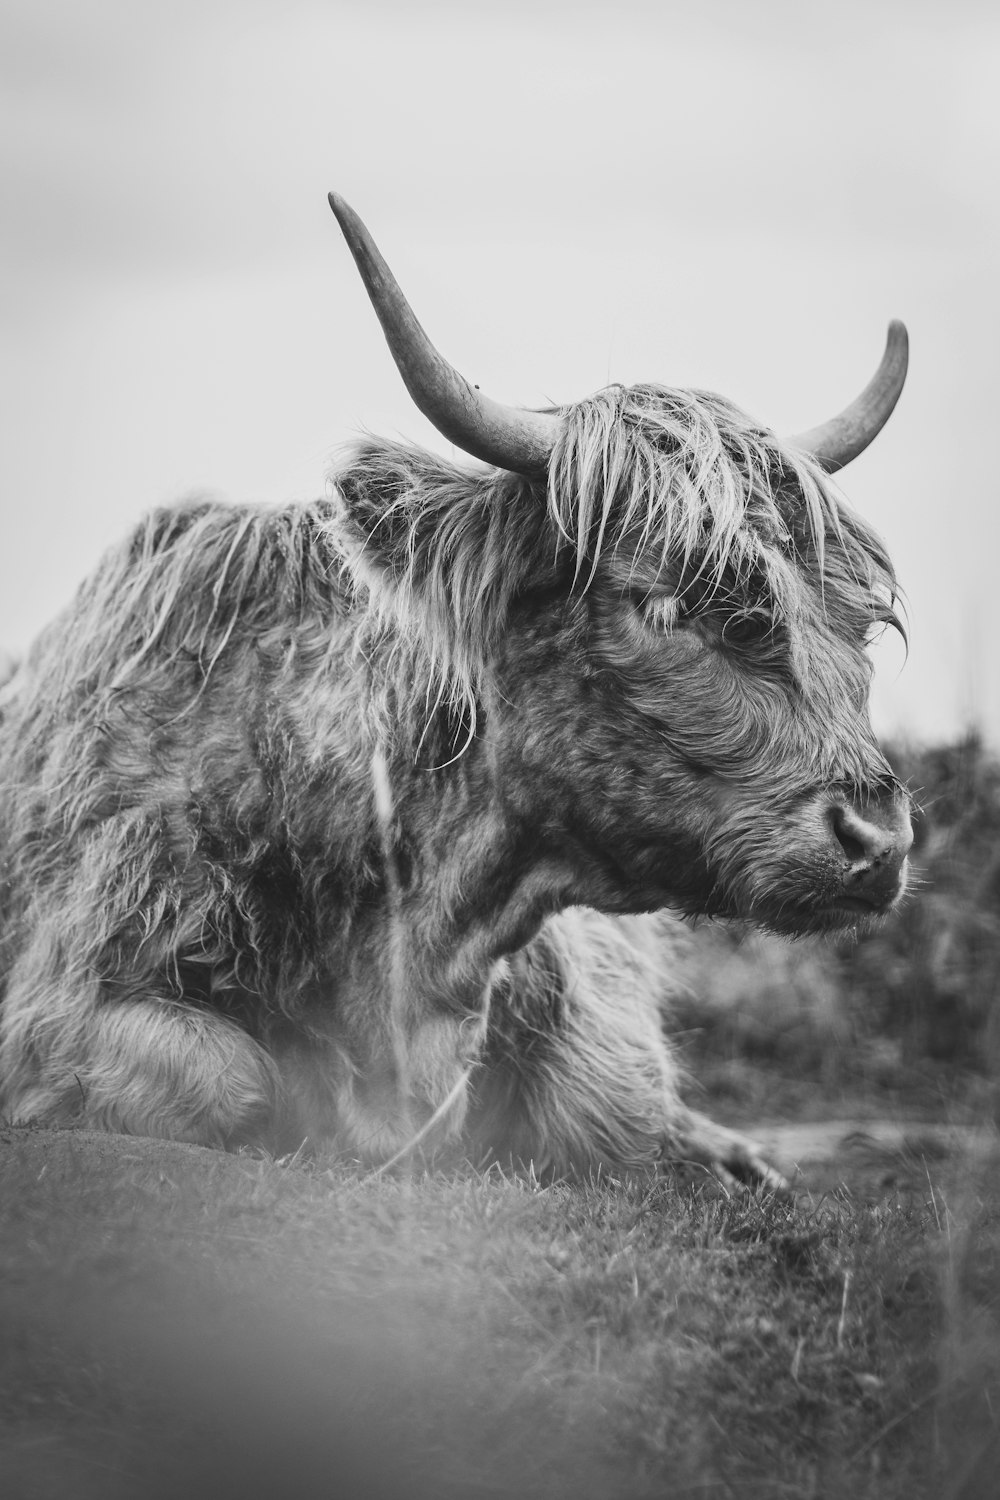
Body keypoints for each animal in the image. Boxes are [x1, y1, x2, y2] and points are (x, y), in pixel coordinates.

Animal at [0, 196, 911, 1182]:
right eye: (675, 600)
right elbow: (233, 1079)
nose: (882, 840)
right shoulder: (62, 1003)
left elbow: (610, 1107)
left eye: (860, 622)